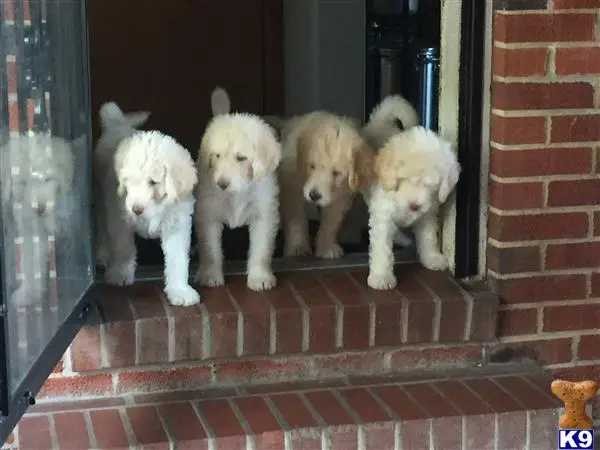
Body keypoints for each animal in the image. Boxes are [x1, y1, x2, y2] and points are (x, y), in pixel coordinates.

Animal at [94, 102, 199, 306]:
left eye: (153, 182)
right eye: (128, 181)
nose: (136, 209)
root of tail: (117, 123)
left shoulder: (177, 223)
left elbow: (178, 259)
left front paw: (180, 290)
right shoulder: (119, 218)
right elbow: (124, 247)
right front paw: (120, 272)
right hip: (101, 197)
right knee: (102, 226)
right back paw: (103, 254)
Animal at [196, 88, 282, 292]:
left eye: (241, 158)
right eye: (217, 156)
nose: (221, 183)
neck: (237, 193)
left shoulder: (264, 215)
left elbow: (261, 249)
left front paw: (260, 277)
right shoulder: (208, 215)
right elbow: (210, 249)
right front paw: (210, 274)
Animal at [278, 112, 372, 258]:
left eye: (336, 173)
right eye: (312, 166)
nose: (314, 195)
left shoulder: (340, 195)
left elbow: (331, 221)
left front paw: (327, 248)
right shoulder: (291, 187)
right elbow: (296, 219)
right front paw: (297, 248)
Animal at [366, 125, 460, 290]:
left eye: (430, 184)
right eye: (403, 179)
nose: (414, 205)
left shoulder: (428, 213)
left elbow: (429, 237)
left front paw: (432, 258)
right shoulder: (383, 214)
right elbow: (382, 248)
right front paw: (381, 277)